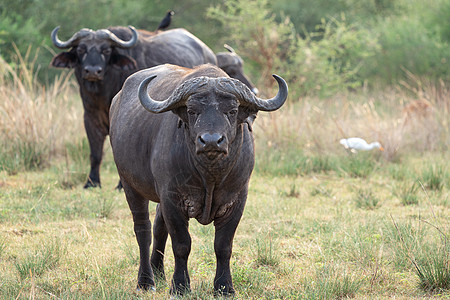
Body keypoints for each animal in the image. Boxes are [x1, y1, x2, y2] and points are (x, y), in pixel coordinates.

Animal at [50, 27, 217, 189]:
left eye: (106, 50)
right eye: (80, 49)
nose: (92, 71)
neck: (104, 94)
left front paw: (120, 185)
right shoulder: (90, 117)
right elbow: (95, 153)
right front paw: (92, 182)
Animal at [108, 63, 288, 296]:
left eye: (232, 111)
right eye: (192, 111)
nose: (211, 141)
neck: (210, 176)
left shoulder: (237, 200)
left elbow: (223, 246)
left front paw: (224, 287)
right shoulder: (172, 199)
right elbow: (182, 244)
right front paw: (180, 286)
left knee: (158, 226)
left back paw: (159, 272)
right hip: (130, 185)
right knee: (143, 230)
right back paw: (146, 281)